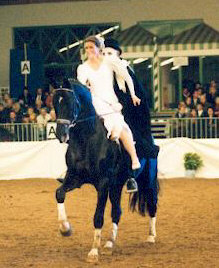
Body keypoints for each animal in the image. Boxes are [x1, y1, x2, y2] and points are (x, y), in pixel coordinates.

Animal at [53, 79, 159, 262]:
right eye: (55, 103)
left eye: (70, 103)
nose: (61, 135)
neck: (86, 138)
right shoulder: (74, 178)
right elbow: (59, 193)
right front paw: (65, 229)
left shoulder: (102, 183)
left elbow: (98, 216)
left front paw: (93, 251)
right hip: (116, 185)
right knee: (117, 211)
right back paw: (110, 243)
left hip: (147, 179)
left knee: (152, 203)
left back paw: (151, 236)